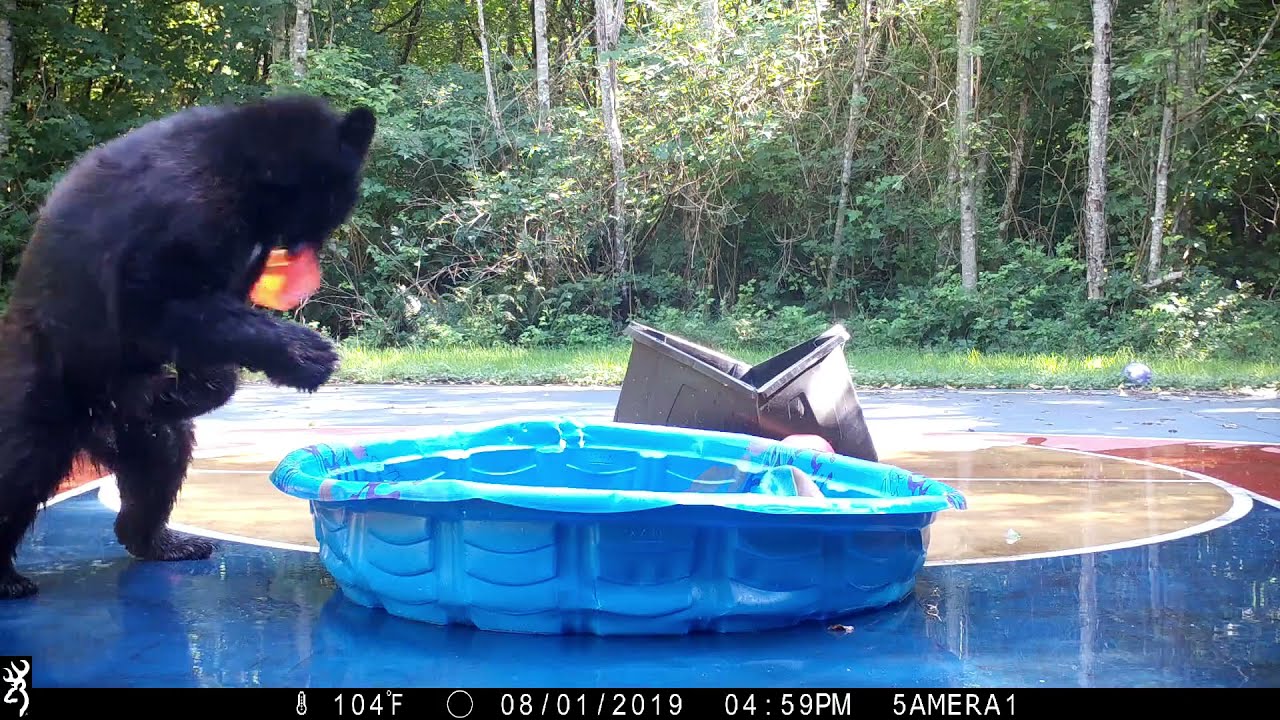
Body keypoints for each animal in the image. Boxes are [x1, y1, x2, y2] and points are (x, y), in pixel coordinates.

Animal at [0, 94, 377, 599]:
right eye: (337, 200)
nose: (312, 258)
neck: (249, 175)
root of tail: (94, 427)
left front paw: (194, 387)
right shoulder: (187, 210)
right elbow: (156, 300)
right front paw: (310, 356)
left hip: (135, 426)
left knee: (161, 461)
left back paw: (163, 539)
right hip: (46, 383)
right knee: (19, 470)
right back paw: (6, 576)